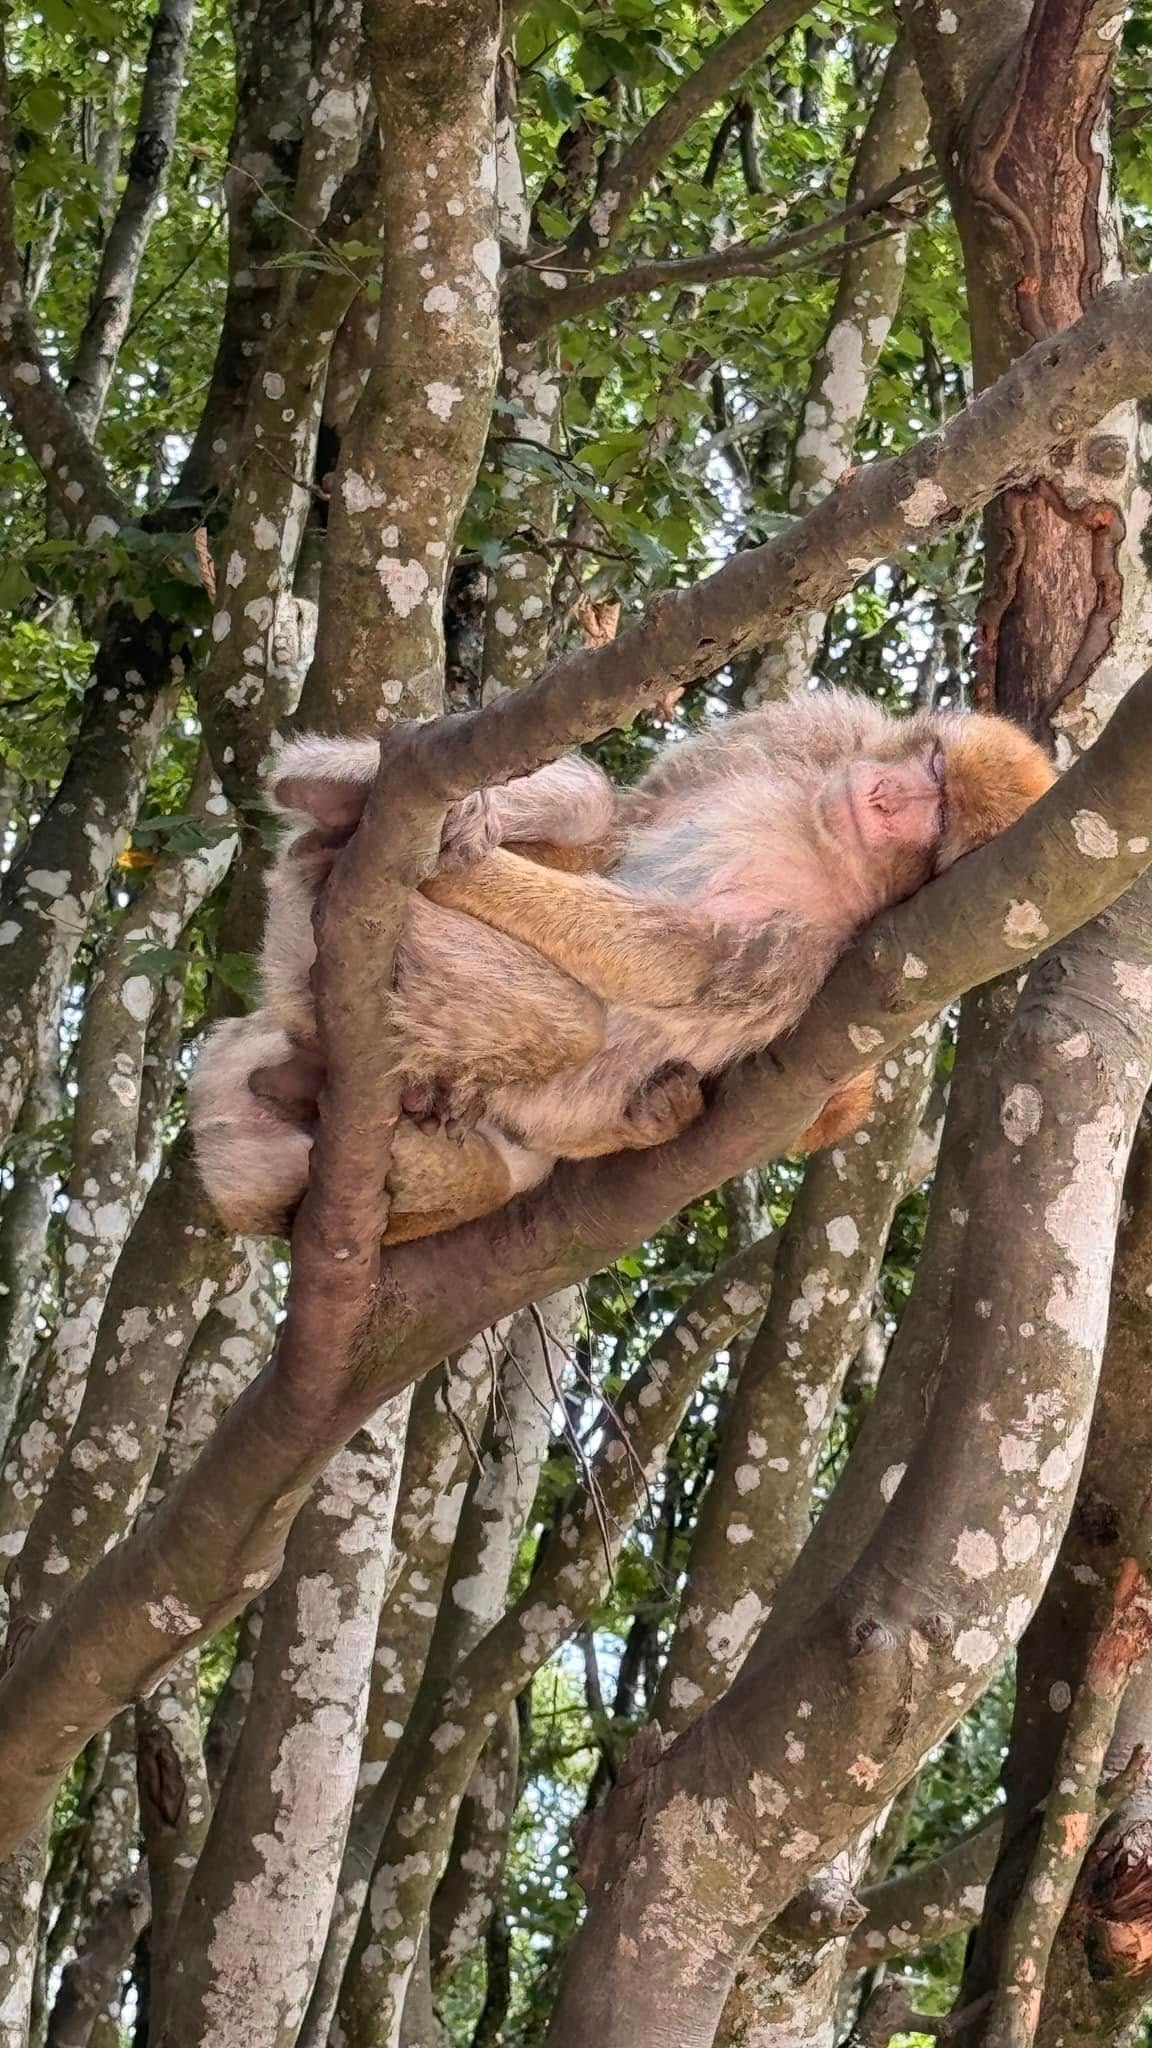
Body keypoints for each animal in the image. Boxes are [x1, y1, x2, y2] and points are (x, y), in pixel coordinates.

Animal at [189, 691, 1055, 1241]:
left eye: (939, 819)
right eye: (934, 768)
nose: (883, 798)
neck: (830, 843)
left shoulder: (810, 964)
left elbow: (676, 964)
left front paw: (470, 874)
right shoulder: (822, 726)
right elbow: (635, 809)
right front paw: (475, 822)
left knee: (570, 1026)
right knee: (593, 814)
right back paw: (340, 803)